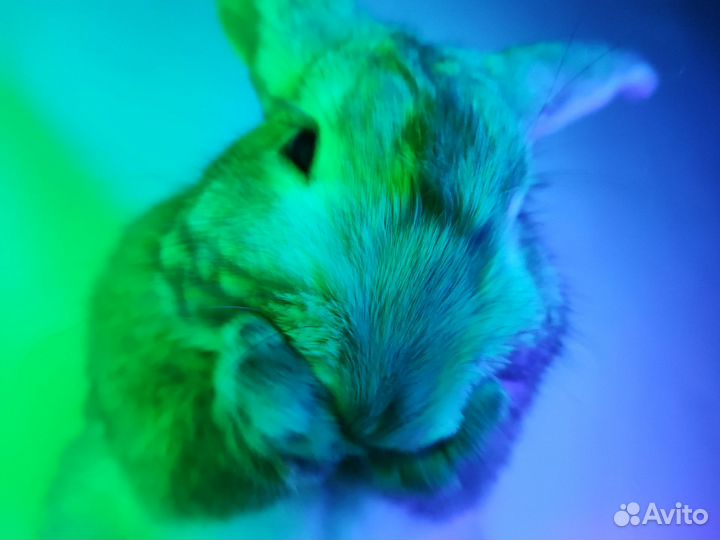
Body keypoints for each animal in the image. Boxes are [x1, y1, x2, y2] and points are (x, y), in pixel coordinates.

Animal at [44, 0, 656, 537]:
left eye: (519, 209)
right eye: (299, 144)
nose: (379, 413)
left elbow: (449, 479)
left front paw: (477, 417)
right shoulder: (147, 386)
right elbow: (203, 464)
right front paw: (275, 390)